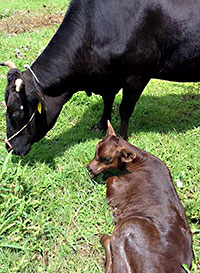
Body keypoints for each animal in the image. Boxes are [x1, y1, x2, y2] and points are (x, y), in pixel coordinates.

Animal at [1, 0, 200, 154]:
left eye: (17, 113)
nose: (9, 147)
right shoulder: (108, 79)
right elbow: (107, 101)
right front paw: (102, 125)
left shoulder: (137, 76)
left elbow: (125, 108)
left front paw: (122, 136)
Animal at [87, 120, 194, 272]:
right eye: (95, 151)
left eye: (106, 159)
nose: (89, 168)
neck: (139, 161)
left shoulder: (116, 190)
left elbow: (110, 181)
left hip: (129, 226)